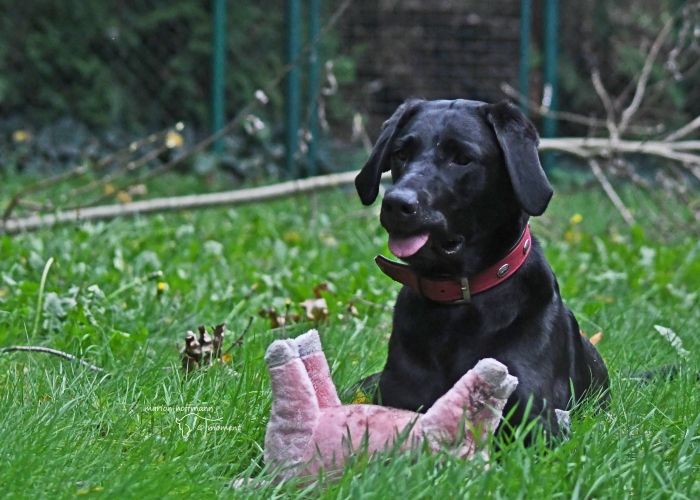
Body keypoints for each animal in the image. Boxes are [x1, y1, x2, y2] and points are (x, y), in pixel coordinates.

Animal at [356, 99, 608, 440]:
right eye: (401, 154)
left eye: (462, 159)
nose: (397, 203)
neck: (456, 299)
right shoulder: (399, 398)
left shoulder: (536, 422)